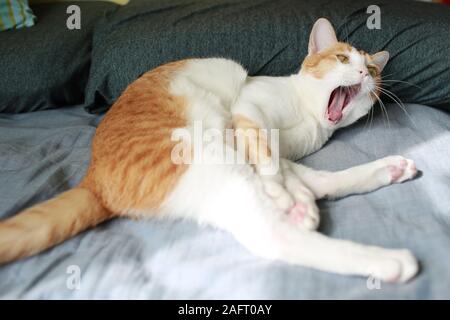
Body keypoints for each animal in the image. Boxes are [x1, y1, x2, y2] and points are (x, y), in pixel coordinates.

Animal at [0, 18, 418, 282]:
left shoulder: (272, 143)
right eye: (343, 58)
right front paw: (285, 195)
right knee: (274, 234)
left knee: (318, 184)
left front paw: (294, 198)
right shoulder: (249, 111)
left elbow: (277, 163)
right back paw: (388, 259)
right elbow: (269, 160)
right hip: (210, 157)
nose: (363, 73)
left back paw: (386, 171)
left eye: (373, 70)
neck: (311, 119)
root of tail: (94, 179)